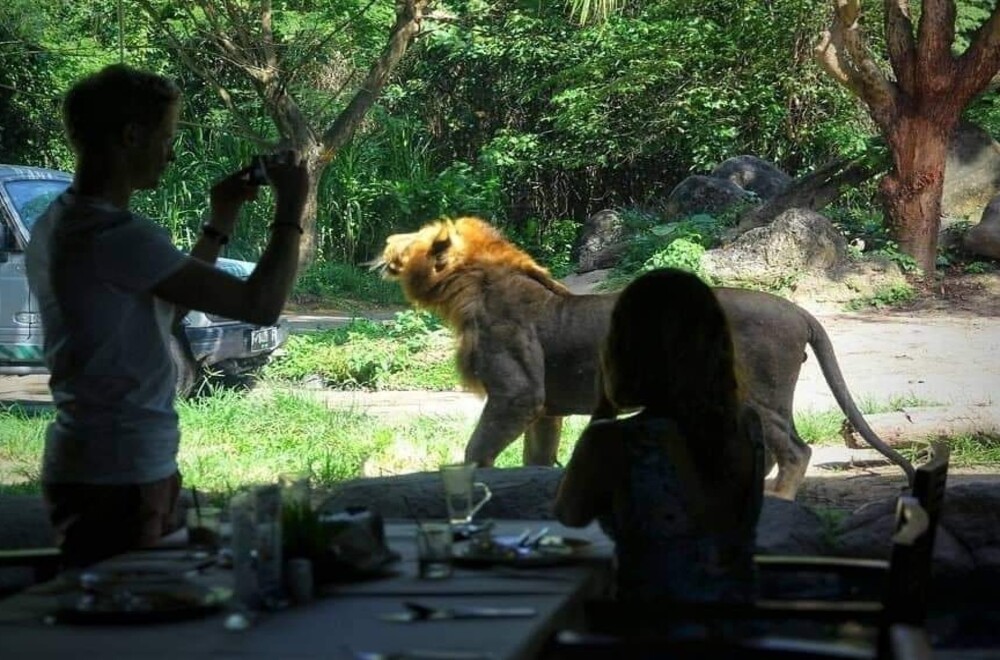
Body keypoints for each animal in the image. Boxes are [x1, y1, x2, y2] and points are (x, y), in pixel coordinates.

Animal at [374, 217, 916, 500]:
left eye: (413, 238)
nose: (385, 242)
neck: (465, 292)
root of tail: (800, 310)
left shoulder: (518, 394)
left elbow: (477, 450)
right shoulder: (545, 409)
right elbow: (537, 458)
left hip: (761, 392)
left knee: (796, 451)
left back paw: (777, 501)